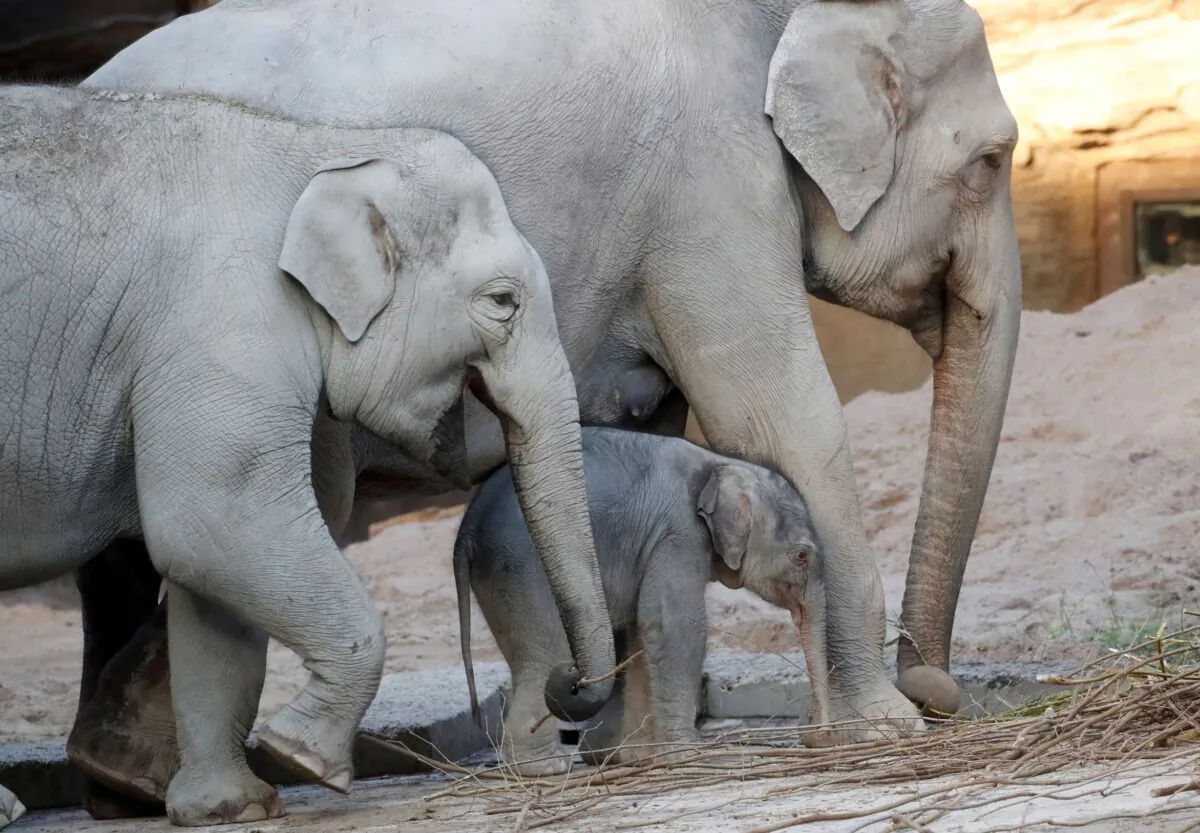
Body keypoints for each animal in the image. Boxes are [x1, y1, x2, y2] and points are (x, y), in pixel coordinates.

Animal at [0, 84, 616, 826]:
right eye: (503, 300)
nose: (569, 681)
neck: (323, 146)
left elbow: (211, 578)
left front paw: (230, 807)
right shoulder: (226, 326)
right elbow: (213, 520)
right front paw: (303, 759)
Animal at [454, 427, 831, 775]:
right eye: (801, 556)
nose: (812, 728)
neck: (719, 463)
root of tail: (466, 530)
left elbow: (641, 631)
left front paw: (641, 757)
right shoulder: (680, 533)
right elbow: (671, 625)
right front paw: (687, 755)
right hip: (523, 568)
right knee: (548, 653)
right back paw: (545, 767)